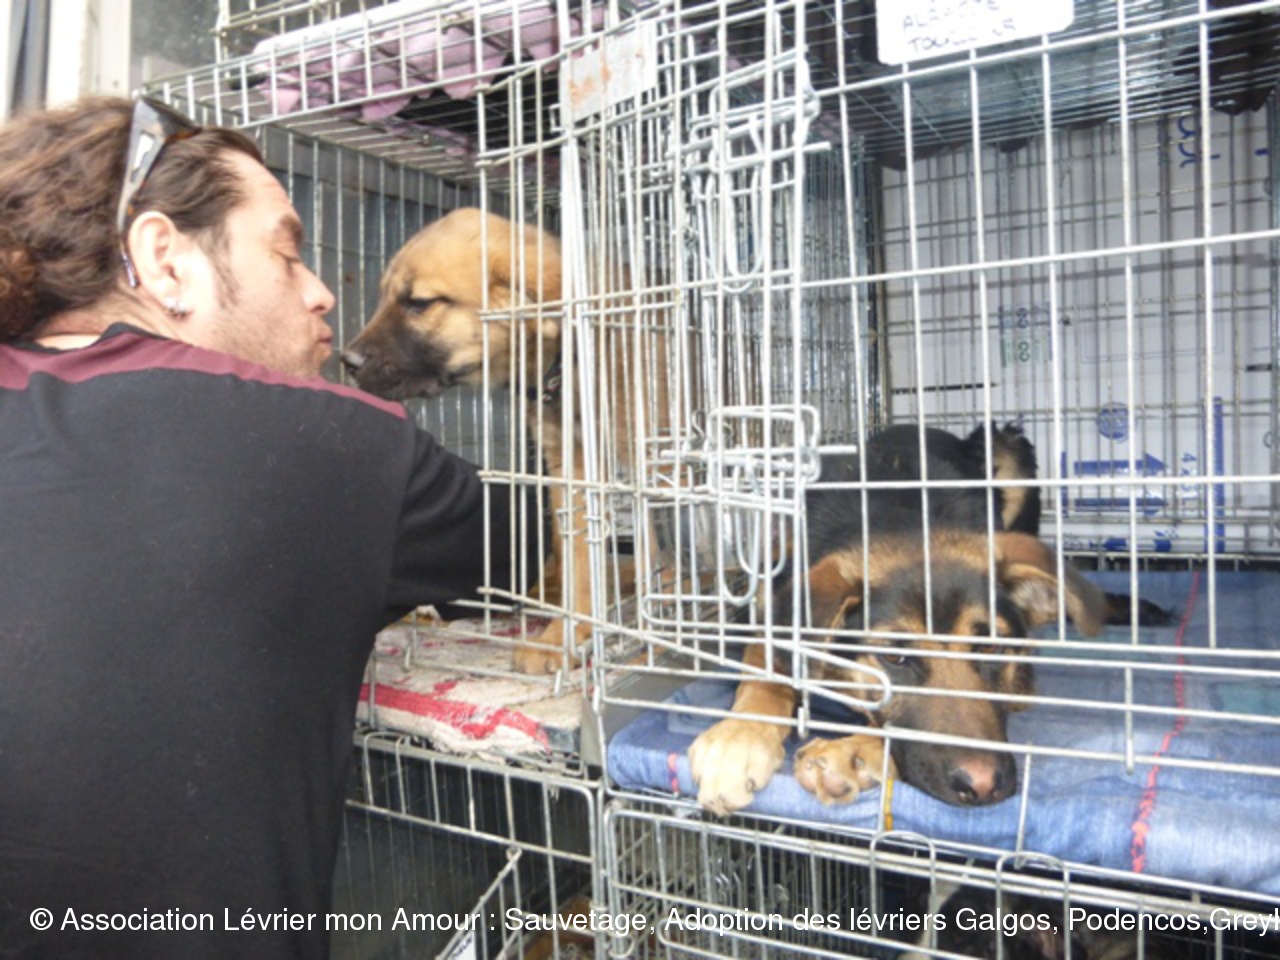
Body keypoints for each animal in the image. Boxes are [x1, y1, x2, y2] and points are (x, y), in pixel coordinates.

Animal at [341, 208, 666, 673]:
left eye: (419, 303)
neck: (566, 365)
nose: (346, 362)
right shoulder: (570, 467)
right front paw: (566, 640)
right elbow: (580, 563)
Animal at [689, 423, 1169, 815]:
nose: (984, 788)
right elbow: (766, 666)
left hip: (1007, 443)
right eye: (895, 659)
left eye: (992, 647)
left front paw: (853, 756)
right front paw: (741, 736)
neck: (902, 514)